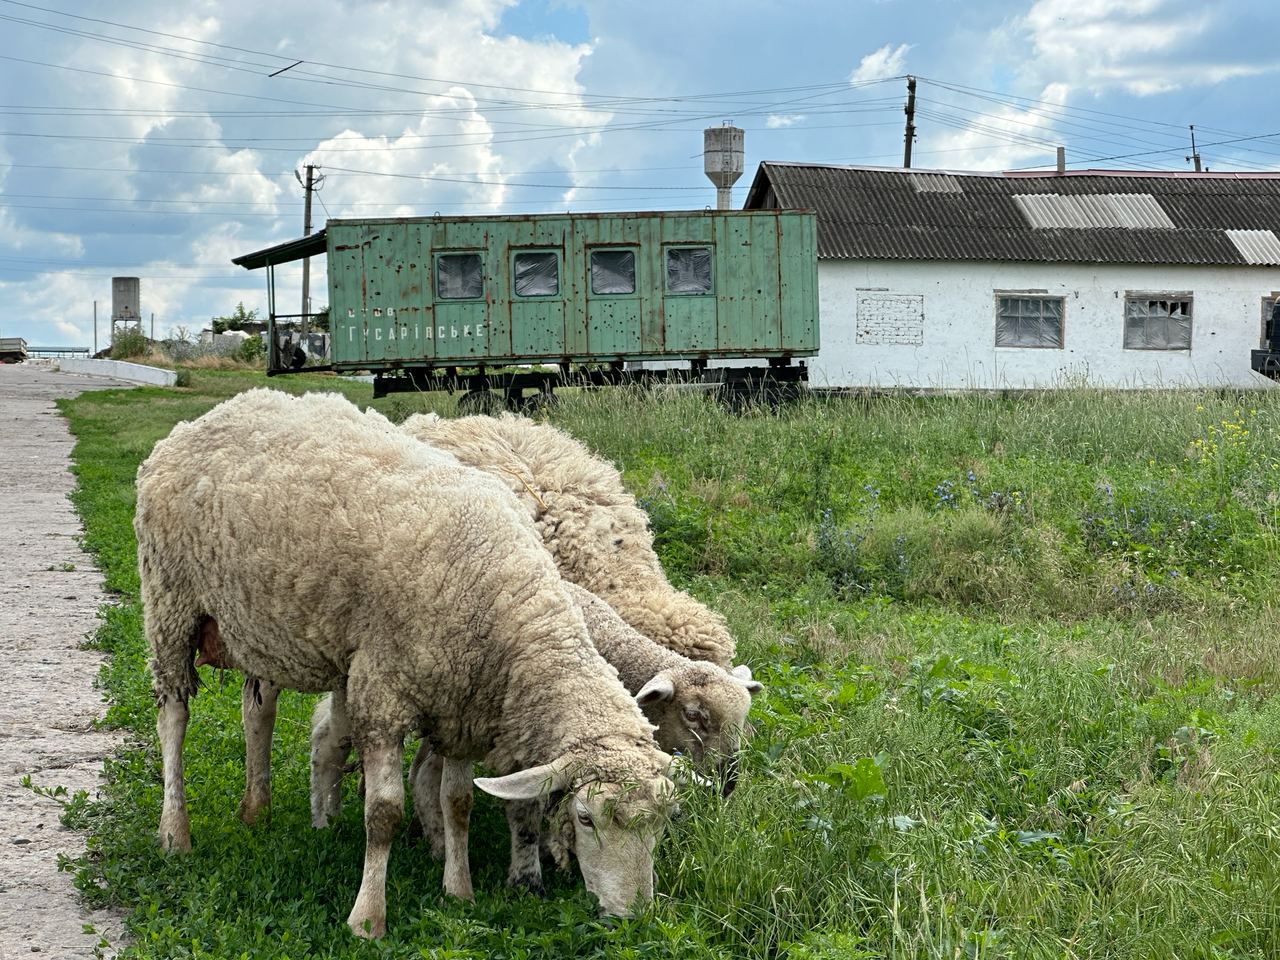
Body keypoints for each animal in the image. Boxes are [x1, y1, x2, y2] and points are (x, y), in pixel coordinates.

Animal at [136, 389, 680, 942]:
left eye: (663, 822)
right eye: (586, 818)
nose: (633, 916)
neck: (506, 599)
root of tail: (213, 415)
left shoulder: (463, 709)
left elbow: (457, 803)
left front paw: (458, 890)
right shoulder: (382, 697)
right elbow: (384, 813)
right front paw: (367, 918)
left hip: (256, 624)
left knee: (257, 712)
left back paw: (255, 810)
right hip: (170, 601)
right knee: (173, 718)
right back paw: (175, 832)